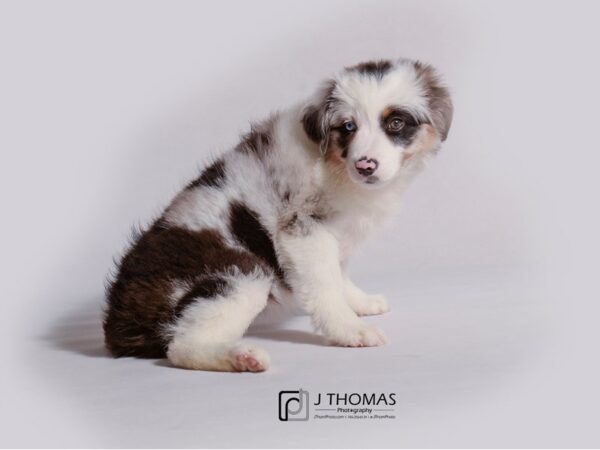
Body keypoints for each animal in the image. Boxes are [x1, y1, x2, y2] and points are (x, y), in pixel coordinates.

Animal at [104, 58, 450, 370]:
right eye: (348, 127)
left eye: (395, 123)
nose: (365, 165)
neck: (333, 164)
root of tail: (118, 319)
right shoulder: (303, 231)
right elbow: (325, 285)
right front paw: (351, 330)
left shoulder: (336, 234)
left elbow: (340, 274)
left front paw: (361, 302)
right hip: (242, 276)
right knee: (180, 346)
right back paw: (242, 358)